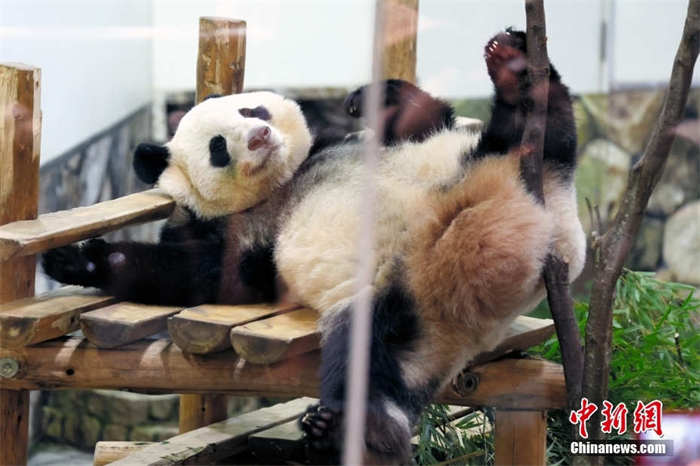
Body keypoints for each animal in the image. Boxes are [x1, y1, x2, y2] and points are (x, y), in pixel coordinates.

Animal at [43, 30, 585, 465]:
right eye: (218, 147)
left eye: (252, 109)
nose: (259, 136)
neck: (285, 179)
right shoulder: (240, 232)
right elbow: (205, 275)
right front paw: (76, 259)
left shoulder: (354, 144)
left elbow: (426, 120)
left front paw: (373, 95)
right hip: (406, 301)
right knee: (371, 356)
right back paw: (361, 428)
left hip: (492, 164)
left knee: (539, 128)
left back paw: (514, 66)